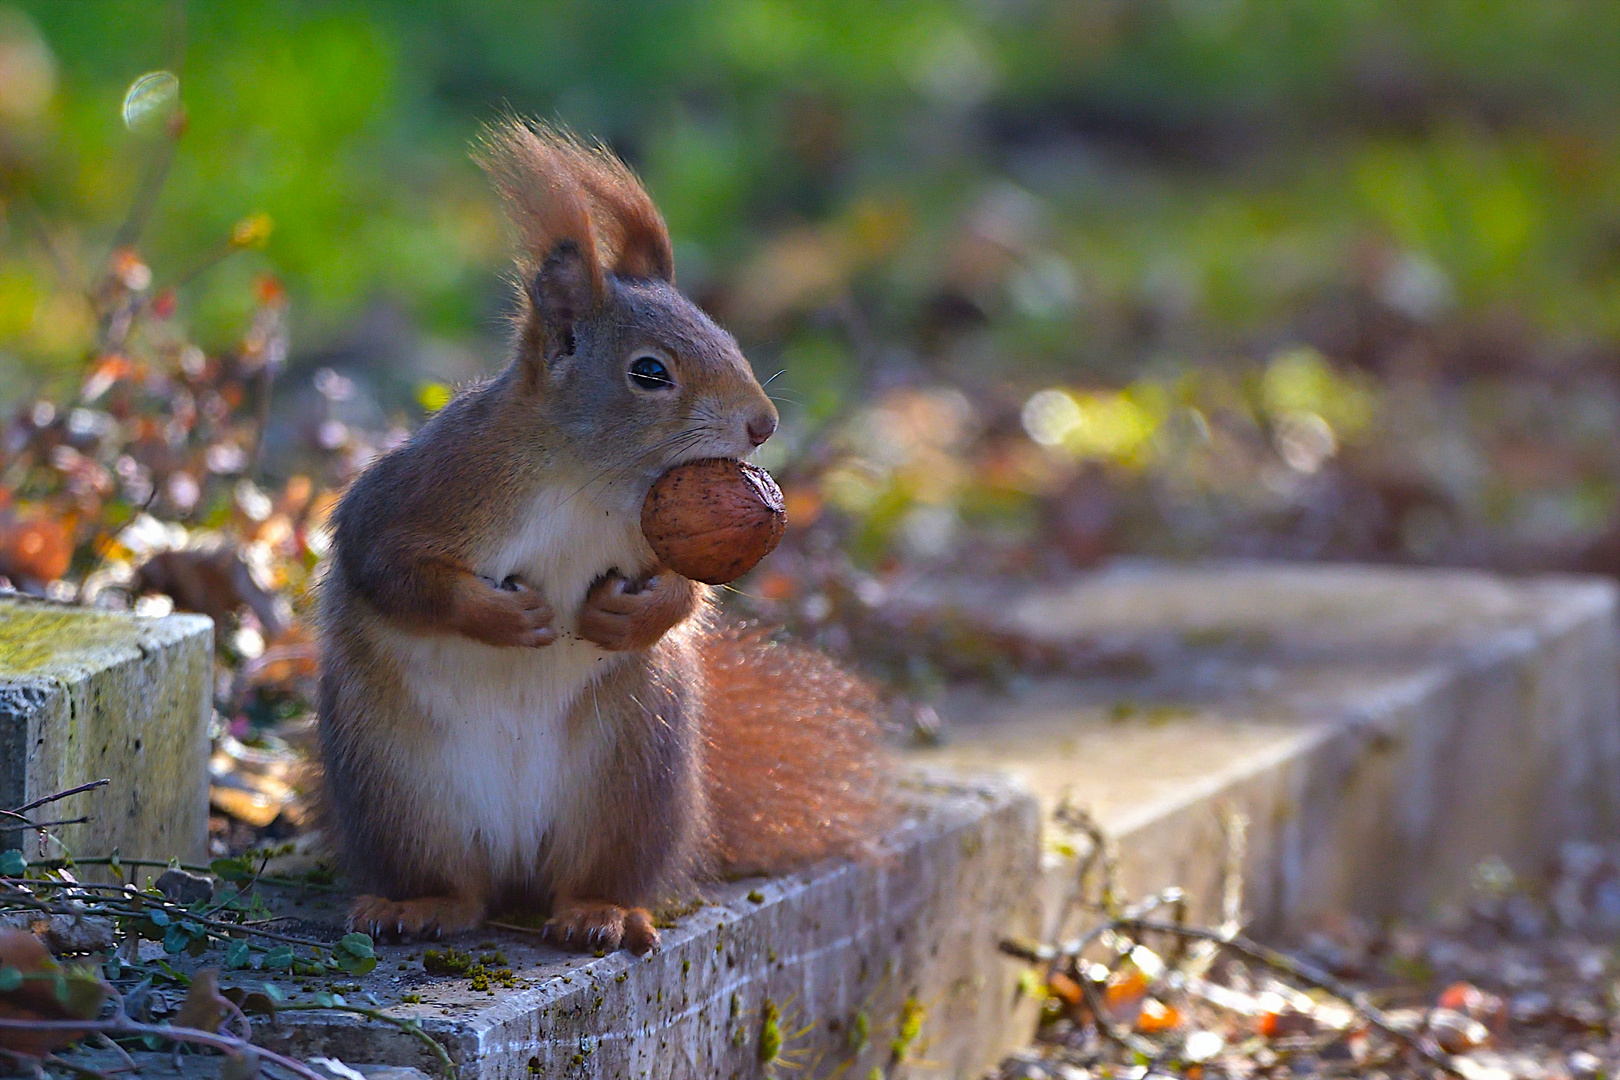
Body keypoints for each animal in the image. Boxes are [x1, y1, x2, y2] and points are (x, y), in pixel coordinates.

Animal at [314, 122, 887, 958]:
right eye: (648, 373)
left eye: (727, 336)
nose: (763, 424)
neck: (586, 479)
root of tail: (515, 860)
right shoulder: (421, 492)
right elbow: (392, 571)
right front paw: (503, 617)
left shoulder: (657, 532)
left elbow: (684, 595)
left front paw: (629, 615)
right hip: (397, 788)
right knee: (455, 886)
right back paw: (416, 905)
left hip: (634, 778)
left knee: (596, 875)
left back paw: (600, 914)